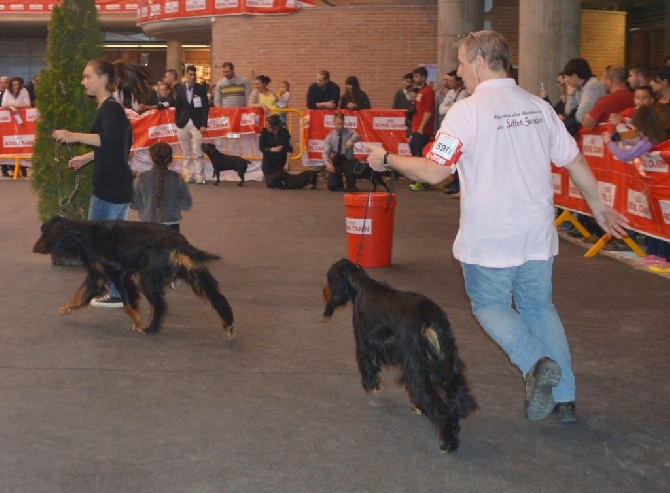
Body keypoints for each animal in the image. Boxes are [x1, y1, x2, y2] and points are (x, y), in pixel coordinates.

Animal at [36, 217, 239, 336]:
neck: (83, 236)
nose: (35, 248)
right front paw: (67, 308)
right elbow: (80, 293)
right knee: (217, 297)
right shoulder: (96, 275)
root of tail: (179, 241)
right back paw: (228, 325)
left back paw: (150, 327)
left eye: (44, 233)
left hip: (148, 279)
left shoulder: (119, 273)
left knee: (159, 305)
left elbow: (128, 302)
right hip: (193, 272)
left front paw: (137, 322)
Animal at [324, 260, 478, 452]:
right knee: (456, 389)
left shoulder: (364, 342)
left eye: (329, 279)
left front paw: (372, 385)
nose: (324, 292)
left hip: (415, 365)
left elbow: (368, 365)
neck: (362, 285)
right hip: (447, 358)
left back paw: (447, 441)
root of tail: (428, 315)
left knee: (436, 404)